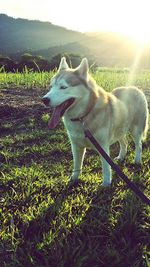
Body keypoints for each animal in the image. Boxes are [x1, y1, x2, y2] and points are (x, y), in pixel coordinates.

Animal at [42, 57, 149, 186]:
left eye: (63, 87)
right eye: (51, 86)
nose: (44, 100)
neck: (82, 117)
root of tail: (135, 88)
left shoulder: (103, 145)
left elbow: (106, 167)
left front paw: (106, 184)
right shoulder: (76, 145)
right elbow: (77, 165)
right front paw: (74, 179)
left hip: (136, 130)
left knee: (139, 145)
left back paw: (137, 160)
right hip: (119, 129)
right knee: (124, 143)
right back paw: (121, 157)